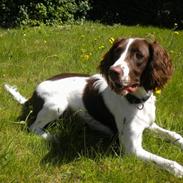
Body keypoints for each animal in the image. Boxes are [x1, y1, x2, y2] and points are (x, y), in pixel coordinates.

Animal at [3, 37, 183, 177]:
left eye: (139, 55)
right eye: (117, 53)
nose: (113, 71)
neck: (137, 101)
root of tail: (32, 95)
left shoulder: (149, 124)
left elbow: (175, 135)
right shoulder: (131, 148)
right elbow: (168, 162)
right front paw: (179, 170)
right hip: (56, 105)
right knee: (33, 127)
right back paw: (52, 137)